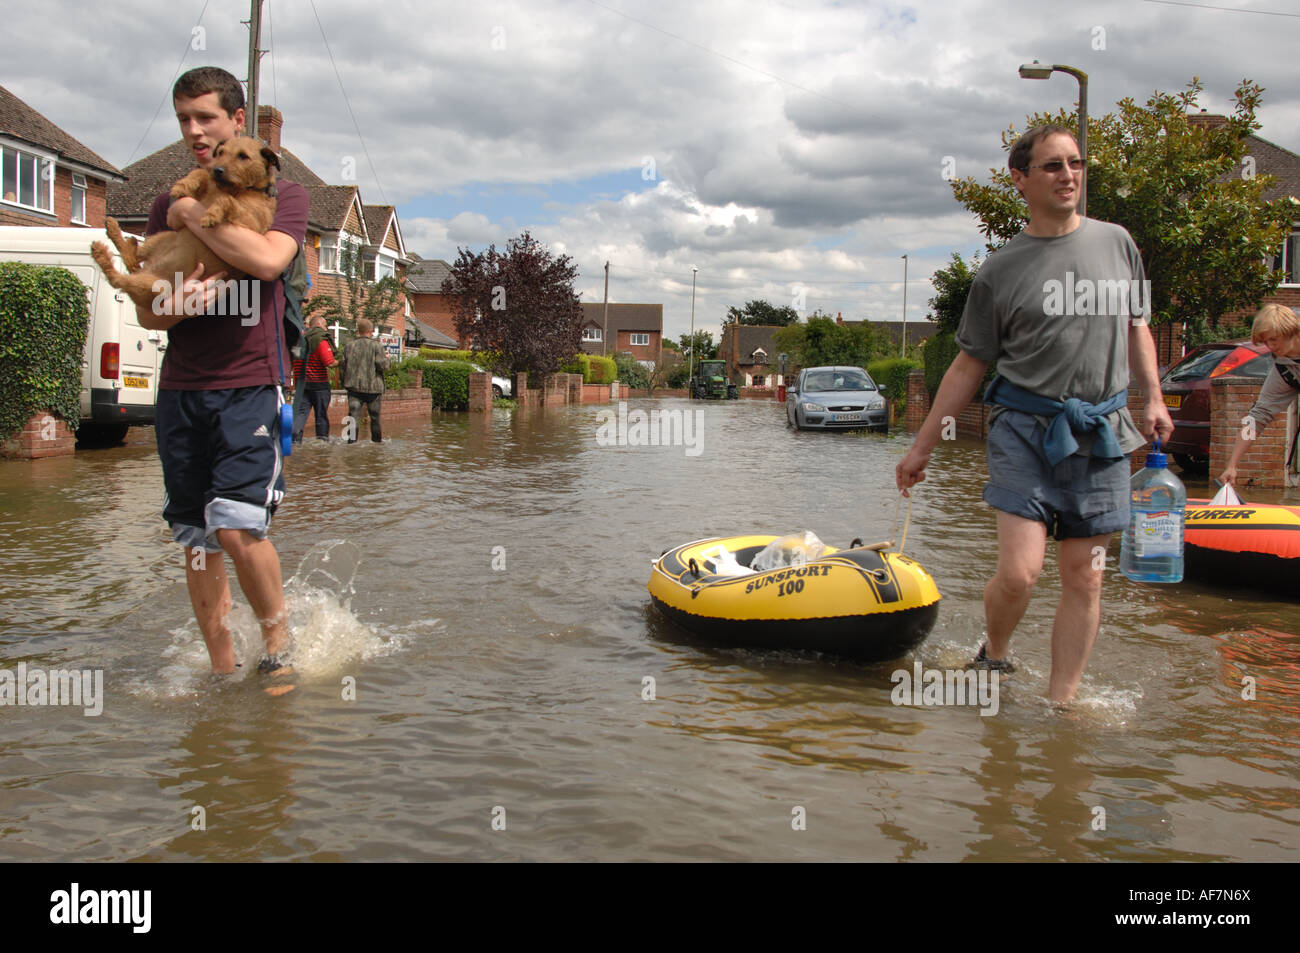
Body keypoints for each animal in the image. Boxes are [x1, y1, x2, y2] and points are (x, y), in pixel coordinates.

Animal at [91, 134, 279, 308]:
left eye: (243, 156)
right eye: (220, 152)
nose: (216, 170)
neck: (238, 189)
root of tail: (147, 269)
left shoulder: (250, 225)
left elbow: (227, 200)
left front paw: (211, 215)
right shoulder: (196, 202)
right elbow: (200, 173)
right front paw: (182, 186)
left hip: (154, 286)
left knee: (117, 278)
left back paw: (101, 252)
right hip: (164, 237)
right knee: (128, 258)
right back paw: (115, 232)